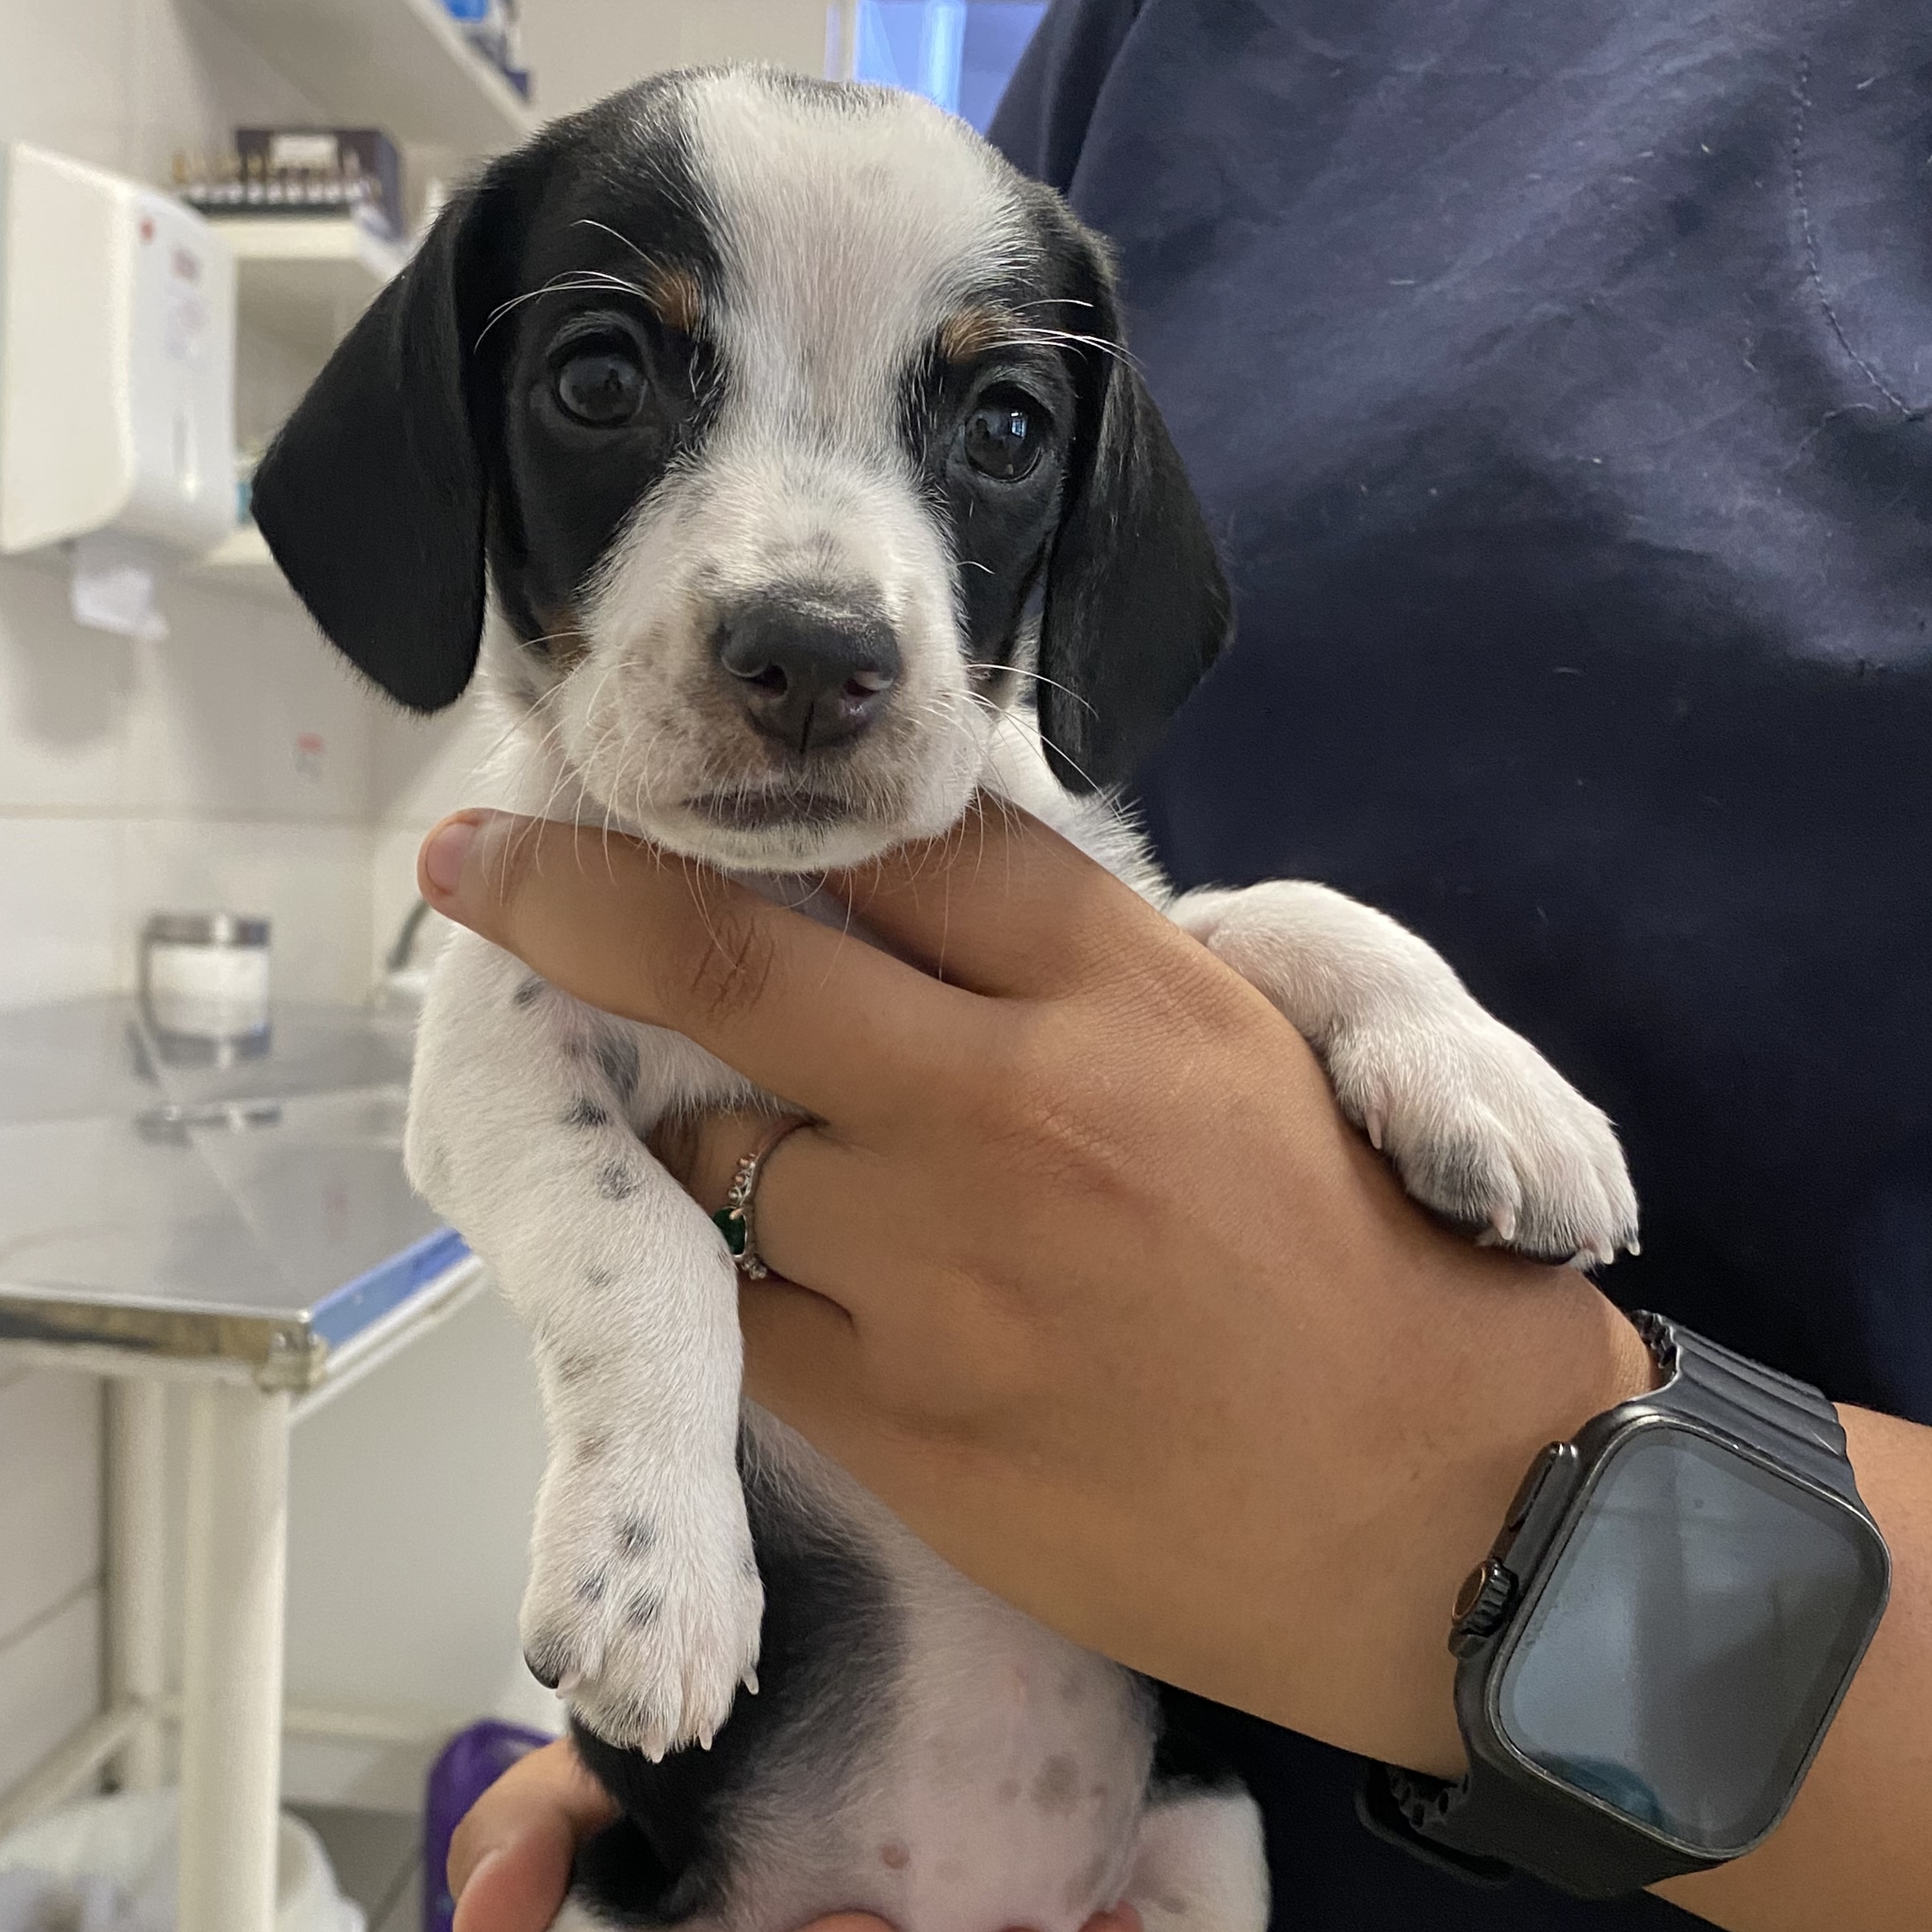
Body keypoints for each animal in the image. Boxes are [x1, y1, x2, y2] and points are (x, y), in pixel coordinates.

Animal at [252, 64, 1630, 1932]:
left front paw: (1494, 1083)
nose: (816, 651)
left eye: (1005, 428)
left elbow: (1290, 909)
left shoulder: (1128, 908)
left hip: (1207, 1839)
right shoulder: (491, 1047)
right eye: (597, 378)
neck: (798, 894)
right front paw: (654, 1569)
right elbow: (637, 1236)